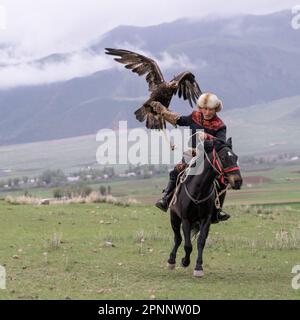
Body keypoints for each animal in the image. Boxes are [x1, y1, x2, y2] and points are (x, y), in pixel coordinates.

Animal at [168, 139, 243, 276]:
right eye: (223, 157)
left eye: (236, 157)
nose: (238, 181)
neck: (198, 190)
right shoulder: (186, 219)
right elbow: (187, 245)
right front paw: (185, 261)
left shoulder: (205, 219)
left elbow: (201, 242)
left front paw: (198, 267)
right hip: (174, 217)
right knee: (178, 238)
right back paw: (171, 261)